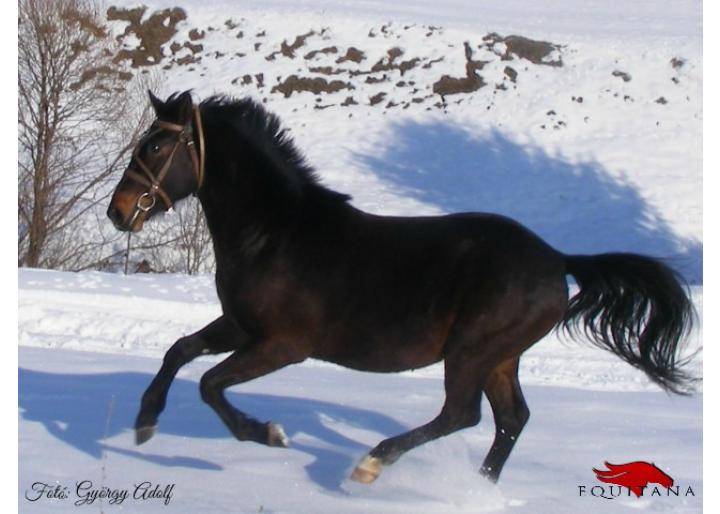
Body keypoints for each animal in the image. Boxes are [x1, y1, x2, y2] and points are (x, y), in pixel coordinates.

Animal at [104, 91, 696, 484]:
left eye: (155, 148)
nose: (119, 211)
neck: (273, 233)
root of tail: (557, 259)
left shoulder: (283, 345)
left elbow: (210, 384)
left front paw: (267, 433)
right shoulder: (239, 325)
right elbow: (179, 351)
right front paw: (144, 422)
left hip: (472, 351)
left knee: (463, 414)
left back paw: (372, 464)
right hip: (501, 358)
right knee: (510, 420)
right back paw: (478, 485)